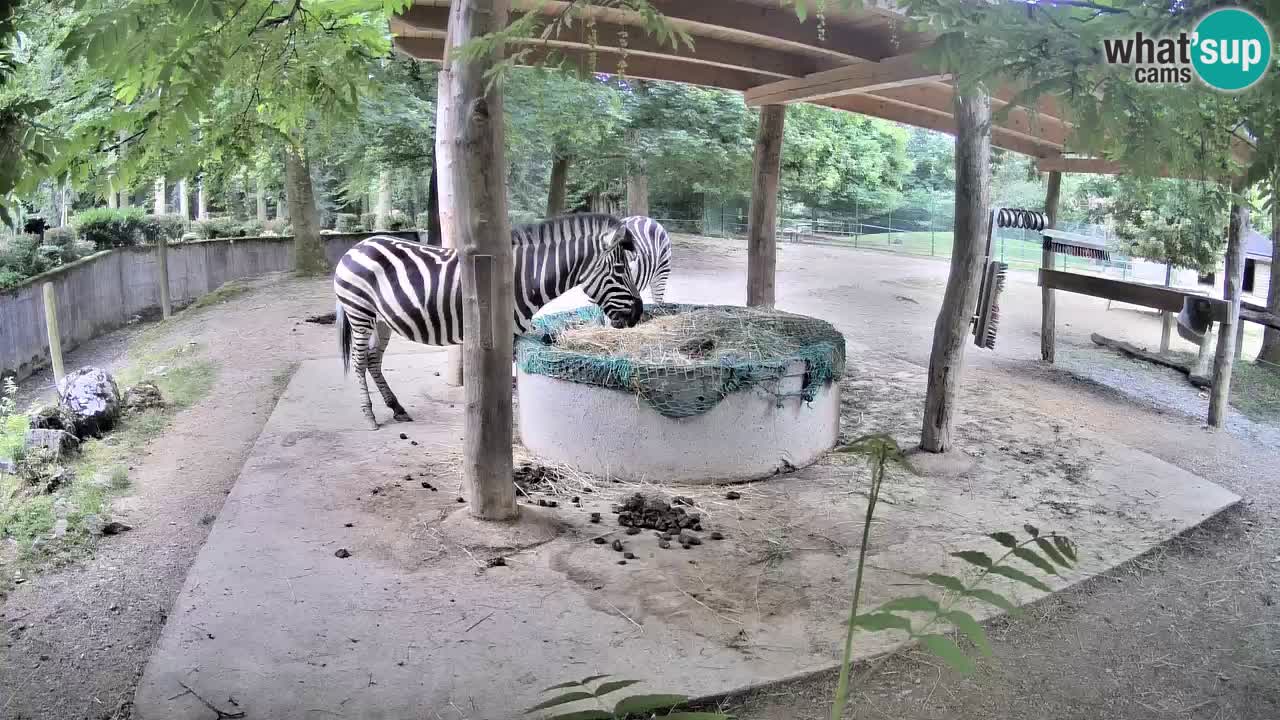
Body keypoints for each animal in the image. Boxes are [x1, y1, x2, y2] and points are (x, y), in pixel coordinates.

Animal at [333, 213, 643, 429]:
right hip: (359, 312)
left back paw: (396, 408)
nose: (638, 313)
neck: (521, 278)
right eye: (620, 269)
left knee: (373, 361)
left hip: (382, 320)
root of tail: (357, 245)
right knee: (360, 362)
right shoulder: (502, 333)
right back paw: (369, 415)